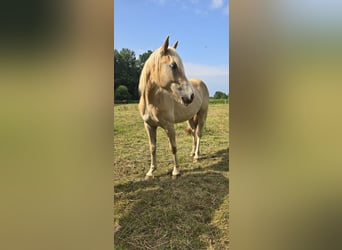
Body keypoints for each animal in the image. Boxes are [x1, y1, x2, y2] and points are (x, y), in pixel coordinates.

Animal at [138, 36, 208, 179]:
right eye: (173, 65)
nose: (190, 96)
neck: (152, 101)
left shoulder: (169, 126)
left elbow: (173, 147)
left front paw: (176, 171)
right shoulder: (148, 126)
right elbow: (152, 148)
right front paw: (151, 171)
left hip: (202, 115)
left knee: (199, 134)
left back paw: (197, 156)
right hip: (190, 118)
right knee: (194, 133)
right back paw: (193, 152)